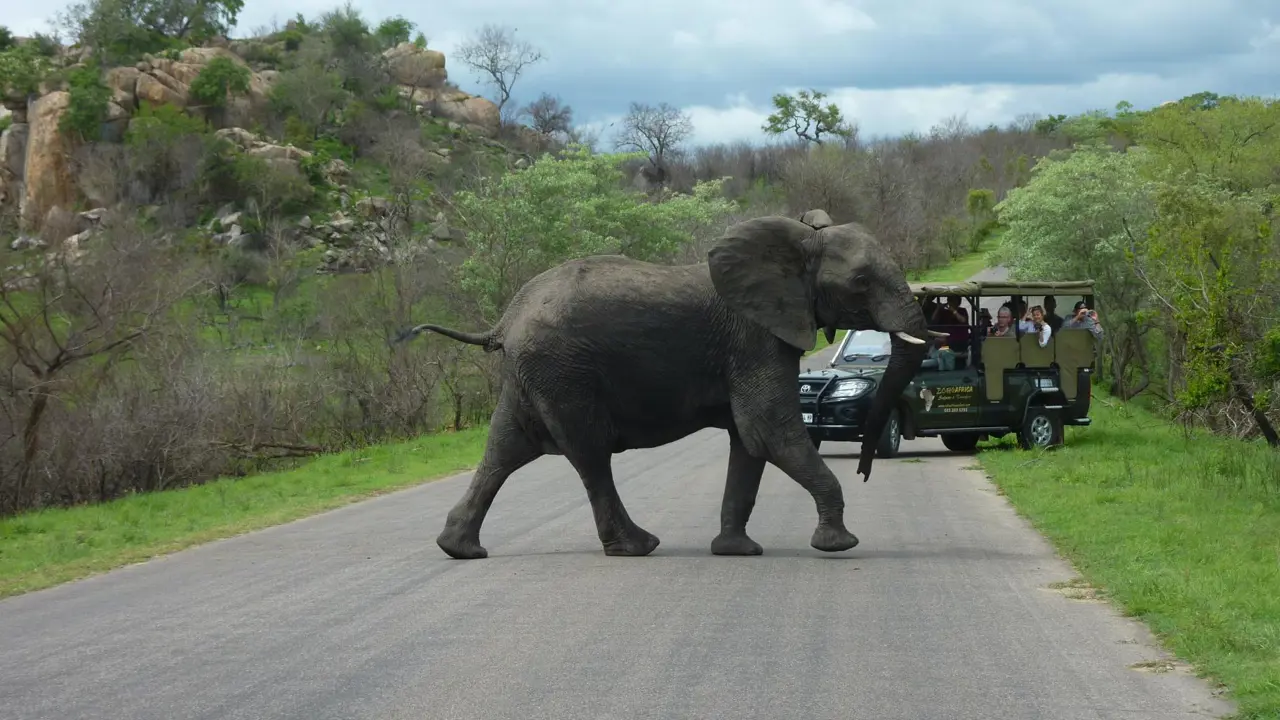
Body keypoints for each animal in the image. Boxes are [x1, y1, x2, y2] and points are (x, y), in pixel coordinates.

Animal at [399, 214, 934, 559]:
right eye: (861, 282)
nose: (866, 469)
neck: (799, 240)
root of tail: (506, 319)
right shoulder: (755, 338)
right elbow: (768, 431)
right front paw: (838, 544)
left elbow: (749, 443)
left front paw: (736, 552)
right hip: (563, 372)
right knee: (589, 455)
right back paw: (637, 546)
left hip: (532, 373)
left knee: (505, 449)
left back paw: (460, 549)